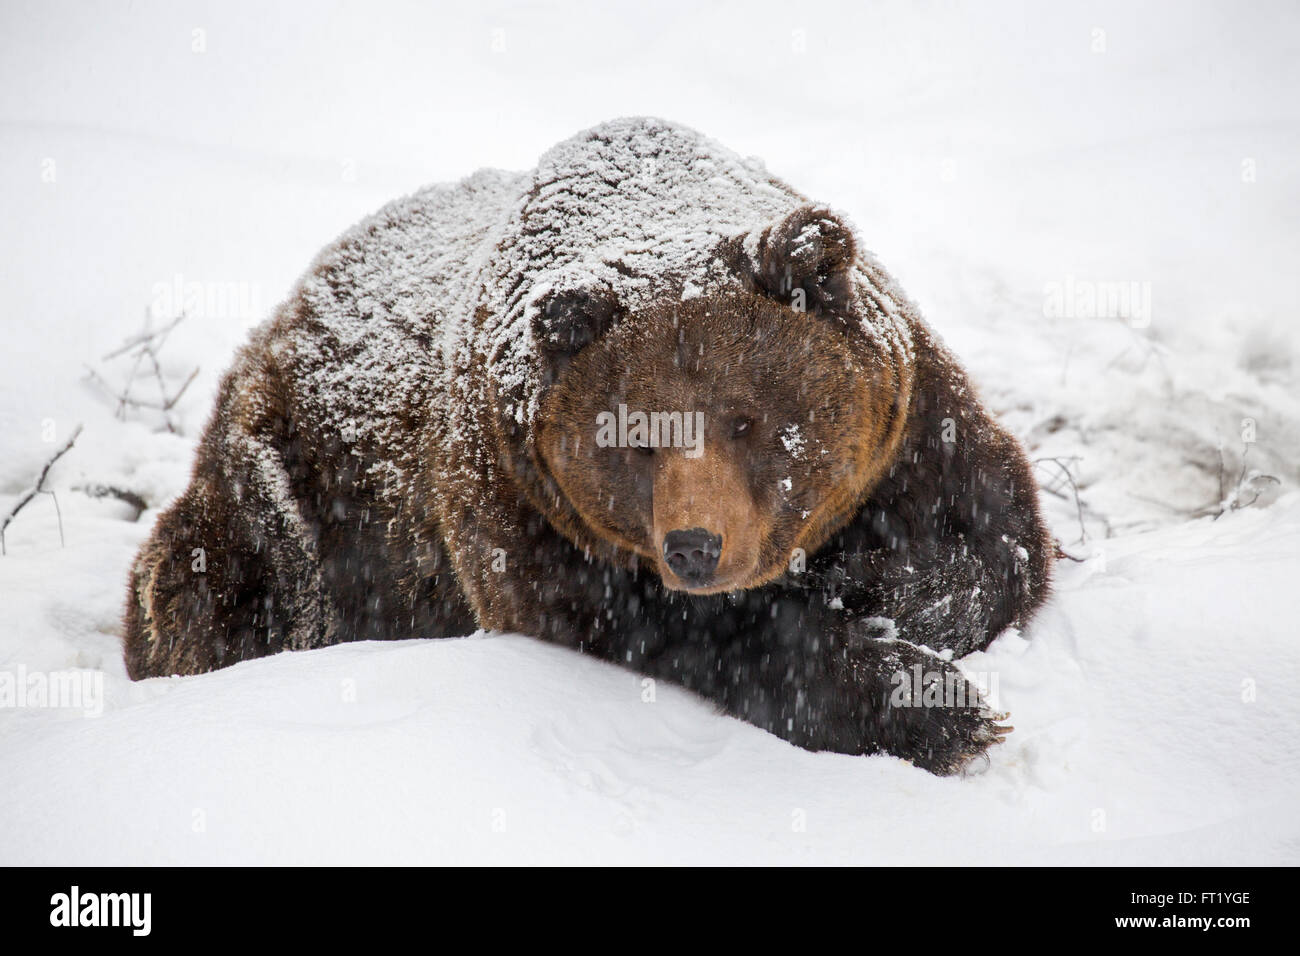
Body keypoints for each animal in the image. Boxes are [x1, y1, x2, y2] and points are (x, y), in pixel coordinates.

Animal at [124, 117, 1052, 775]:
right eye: (635, 436)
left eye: (748, 419)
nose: (695, 546)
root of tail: (277, 318)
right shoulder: (523, 510)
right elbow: (682, 631)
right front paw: (941, 710)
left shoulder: (916, 426)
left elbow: (994, 545)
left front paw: (870, 589)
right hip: (285, 491)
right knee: (218, 586)